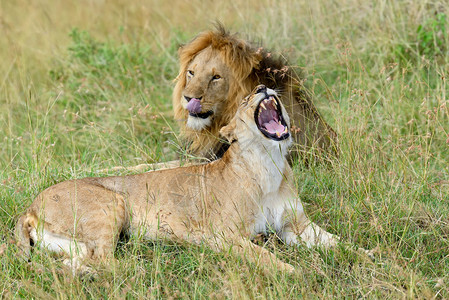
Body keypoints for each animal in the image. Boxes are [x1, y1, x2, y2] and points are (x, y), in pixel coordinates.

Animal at [16, 85, 340, 274]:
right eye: (246, 99)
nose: (263, 86)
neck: (269, 163)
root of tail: (29, 208)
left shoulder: (296, 225)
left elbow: (334, 242)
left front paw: (352, 252)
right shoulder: (220, 235)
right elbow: (261, 255)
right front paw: (294, 272)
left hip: (73, 243)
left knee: (80, 260)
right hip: (112, 203)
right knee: (106, 262)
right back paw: (139, 270)